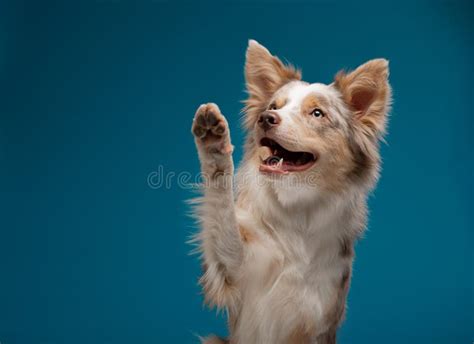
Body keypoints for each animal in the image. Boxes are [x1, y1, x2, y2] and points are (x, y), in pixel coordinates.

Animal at [191, 40, 390, 344]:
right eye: (274, 106)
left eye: (317, 113)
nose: (265, 118)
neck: (298, 204)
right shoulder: (236, 269)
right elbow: (221, 207)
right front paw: (214, 144)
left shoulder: (317, 317)